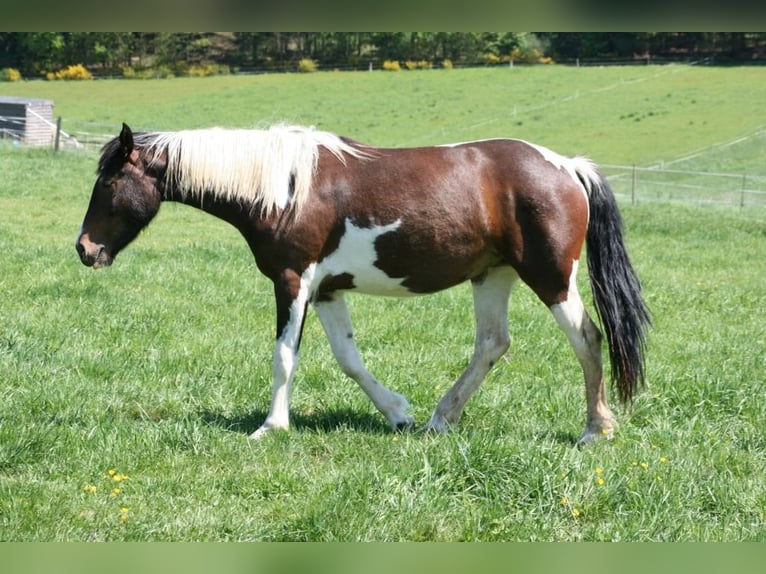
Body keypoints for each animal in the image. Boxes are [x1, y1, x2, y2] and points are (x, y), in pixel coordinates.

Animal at [76, 122, 656, 446]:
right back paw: (439, 420)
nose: (84, 249)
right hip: (492, 275)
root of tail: (567, 166)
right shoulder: (328, 290)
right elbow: (349, 359)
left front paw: (271, 427)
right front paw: (398, 412)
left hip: (551, 277)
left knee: (587, 339)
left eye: (110, 180)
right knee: (493, 344)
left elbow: (284, 356)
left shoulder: (293, 281)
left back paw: (594, 429)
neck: (284, 188)